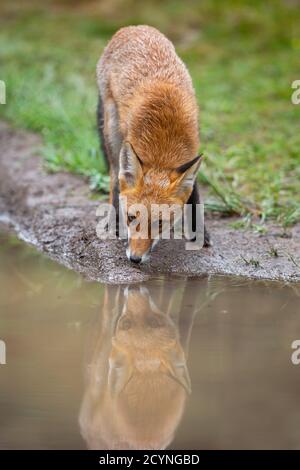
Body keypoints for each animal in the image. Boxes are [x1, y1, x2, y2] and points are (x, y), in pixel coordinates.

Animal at [96, 25, 209, 262]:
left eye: (159, 223)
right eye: (131, 218)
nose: (135, 259)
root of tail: (134, 27)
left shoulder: (191, 151)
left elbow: (193, 192)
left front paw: (200, 231)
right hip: (112, 131)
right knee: (114, 176)